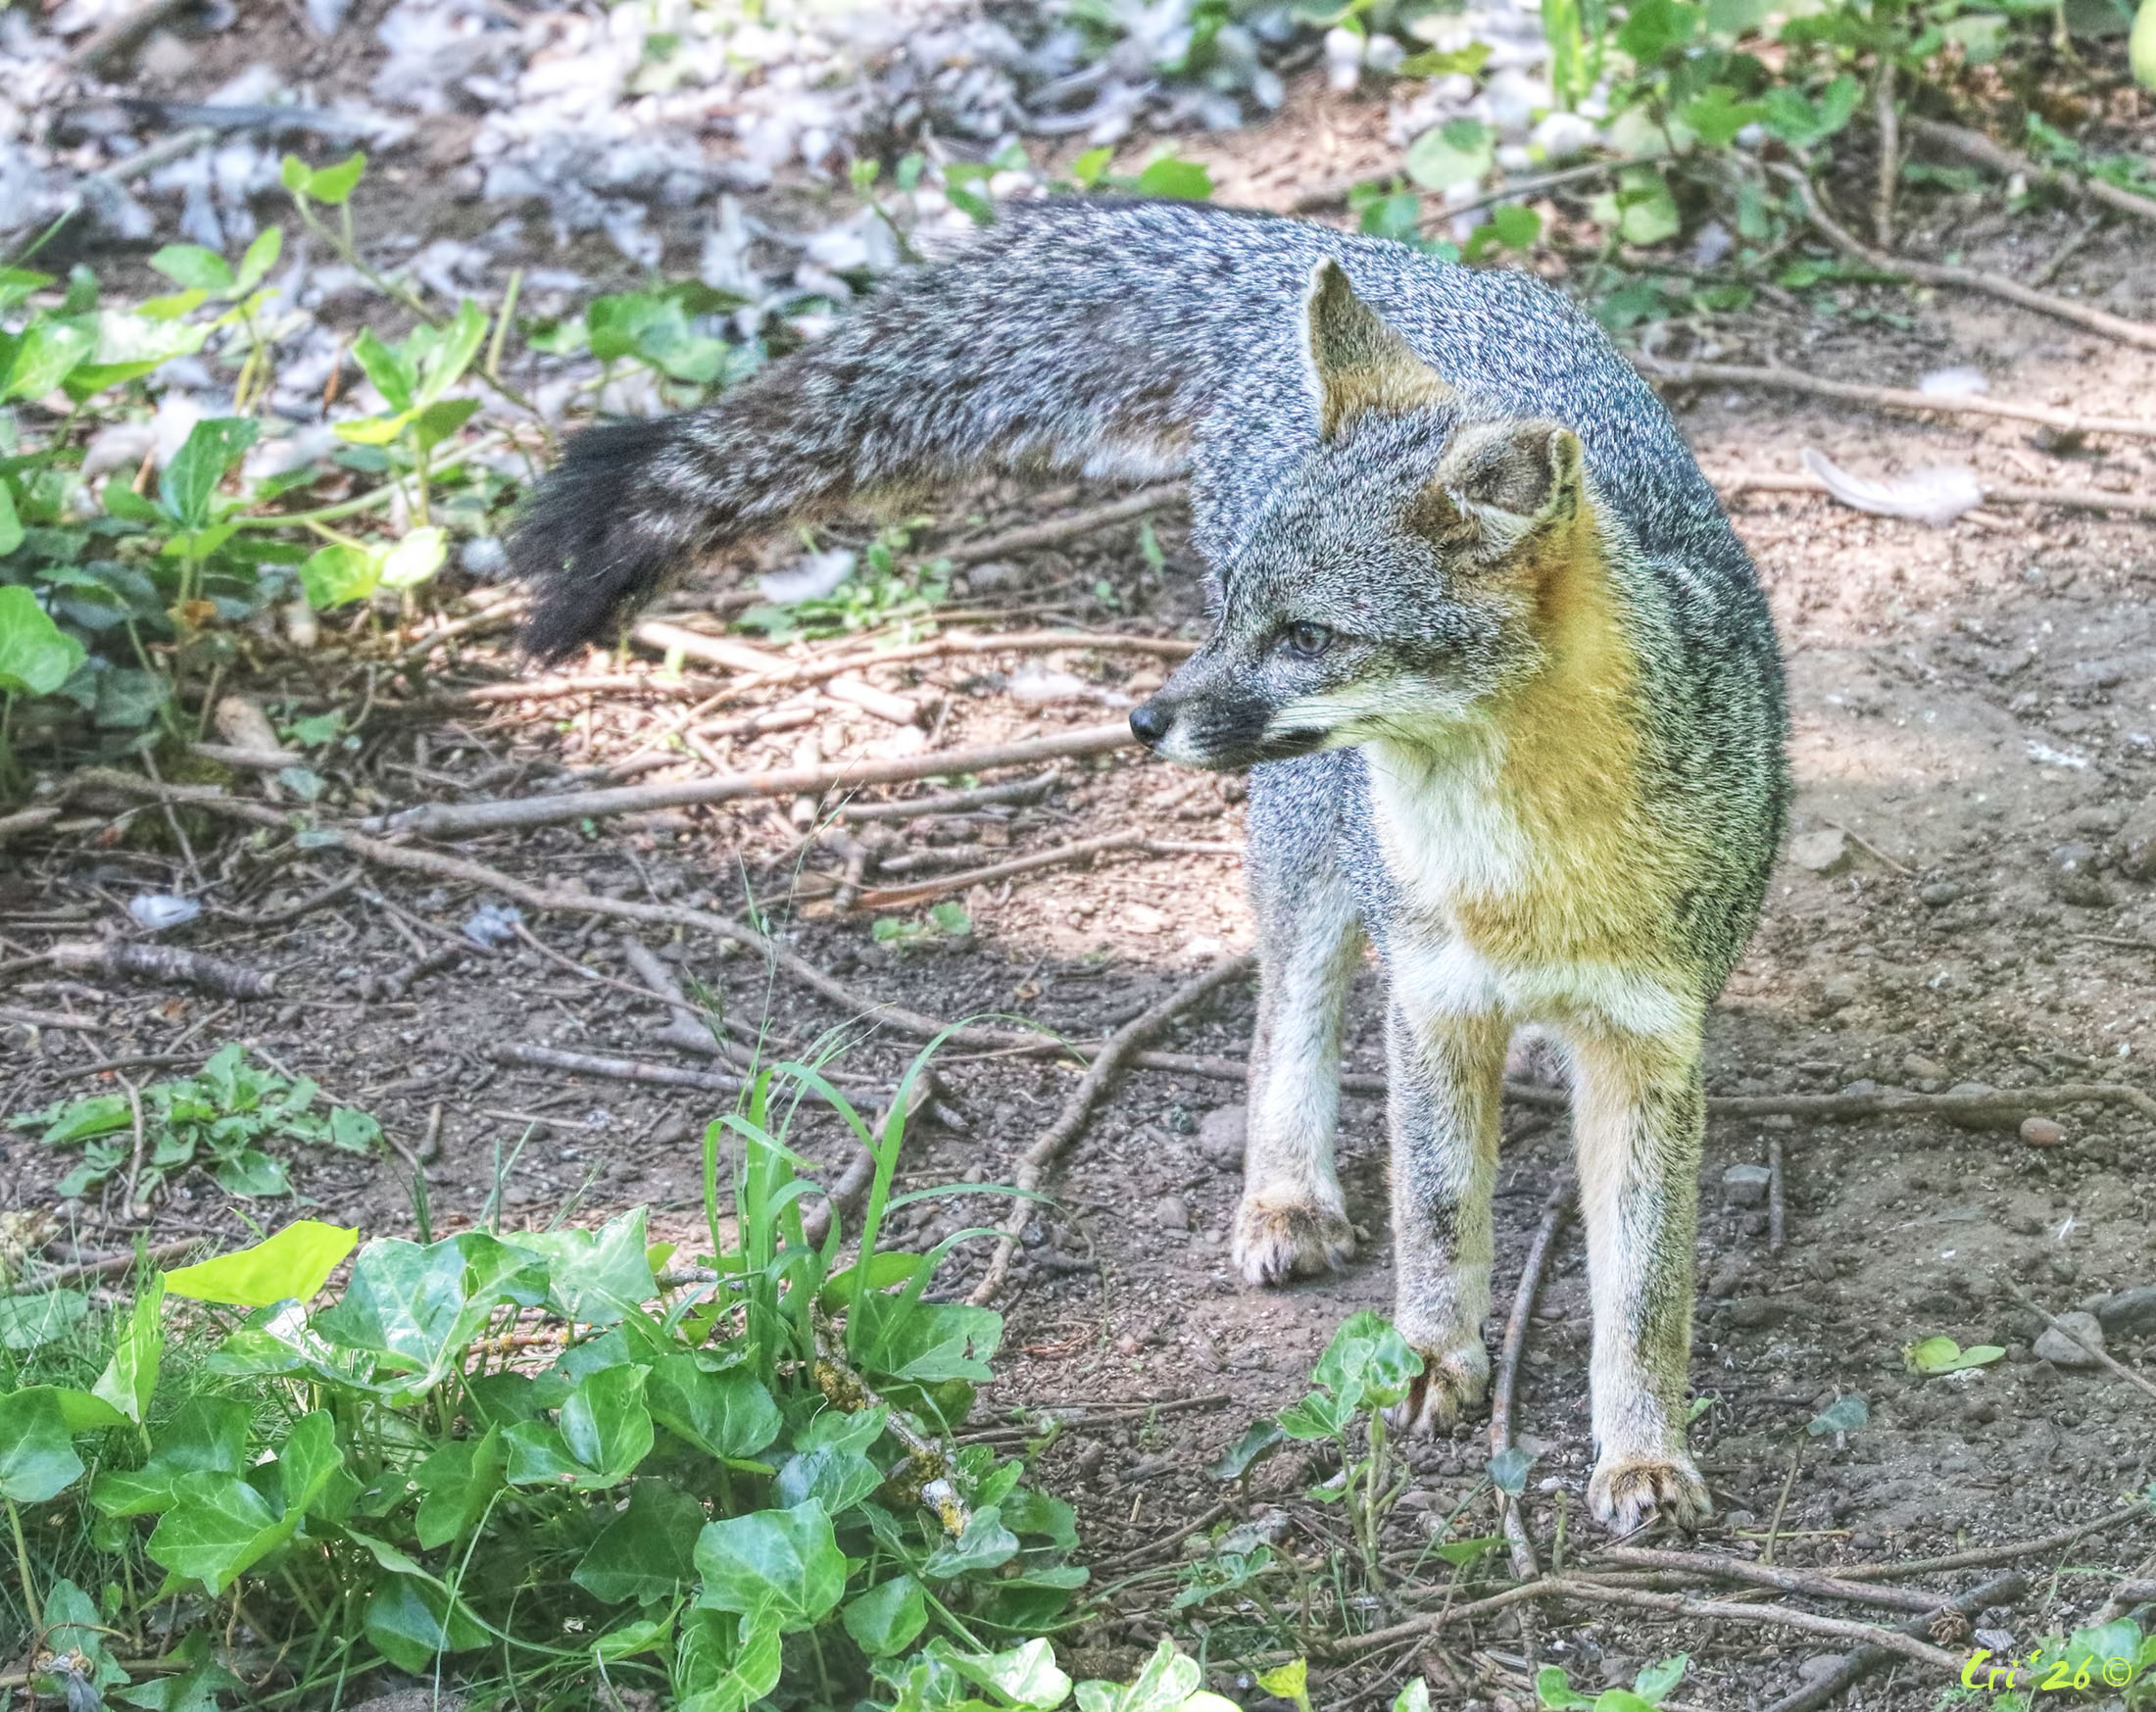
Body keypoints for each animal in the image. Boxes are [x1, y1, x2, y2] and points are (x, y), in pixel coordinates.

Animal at [509, 197, 1789, 1533]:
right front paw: (1432, 1361)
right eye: (1239, 617)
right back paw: (1285, 1193)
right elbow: (1439, 1218)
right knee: (1288, 1008)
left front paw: (1643, 1453)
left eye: (1307, 636)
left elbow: (1645, 1291)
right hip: (1308, 837)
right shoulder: (1434, 1005)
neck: (1517, 871)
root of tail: (1381, 256)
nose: (1141, 720)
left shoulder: (1648, 1045)